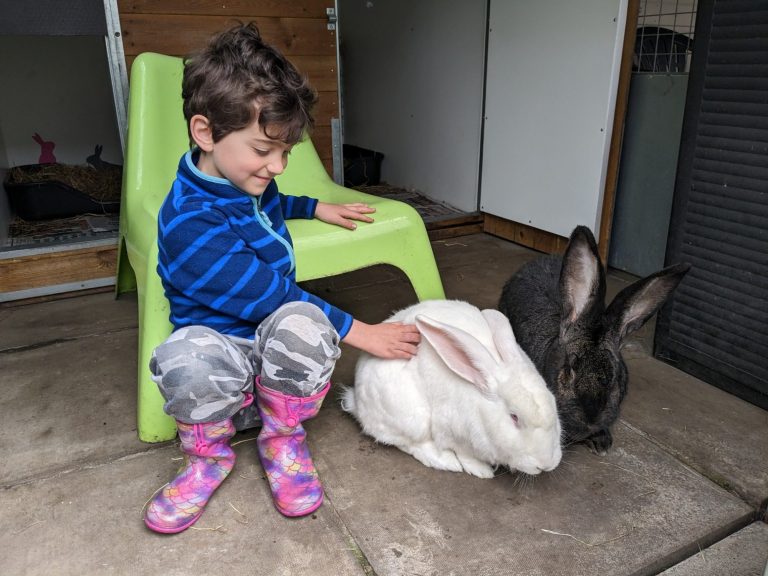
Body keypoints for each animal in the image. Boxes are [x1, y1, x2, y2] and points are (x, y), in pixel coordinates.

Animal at [344, 300, 564, 480]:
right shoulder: (453, 432)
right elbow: (465, 455)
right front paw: (481, 471)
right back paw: (445, 461)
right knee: (404, 441)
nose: (546, 464)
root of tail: (355, 400)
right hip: (411, 416)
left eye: (554, 404)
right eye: (514, 417)